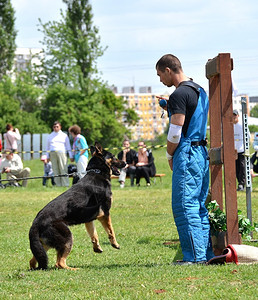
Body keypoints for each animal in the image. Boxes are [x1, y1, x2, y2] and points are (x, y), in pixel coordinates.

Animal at [28, 142, 125, 270]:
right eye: (113, 157)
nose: (125, 163)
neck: (97, 172)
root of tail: (35, 224)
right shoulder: (104, 213)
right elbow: (111, 231)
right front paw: (115, 244)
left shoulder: (89, 219)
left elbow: (94, 234)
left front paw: (97, 247)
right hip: (67, 237)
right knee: (59, 263)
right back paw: (74, 269)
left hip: (44, 246)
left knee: (33, 261)